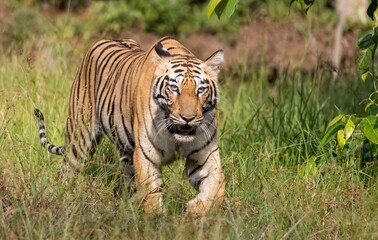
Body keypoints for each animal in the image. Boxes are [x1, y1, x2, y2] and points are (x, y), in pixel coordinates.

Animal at [33, 36, 224, 216]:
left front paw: (195, 211)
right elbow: (151, 196)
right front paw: (156, 220)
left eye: (200, 90)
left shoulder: (205, 154)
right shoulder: (147, 155)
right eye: (174, 88)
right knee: (66, 170)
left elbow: (217, 187)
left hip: (125, 152)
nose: (187, 118)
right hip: (79, 139)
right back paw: (60, 199)